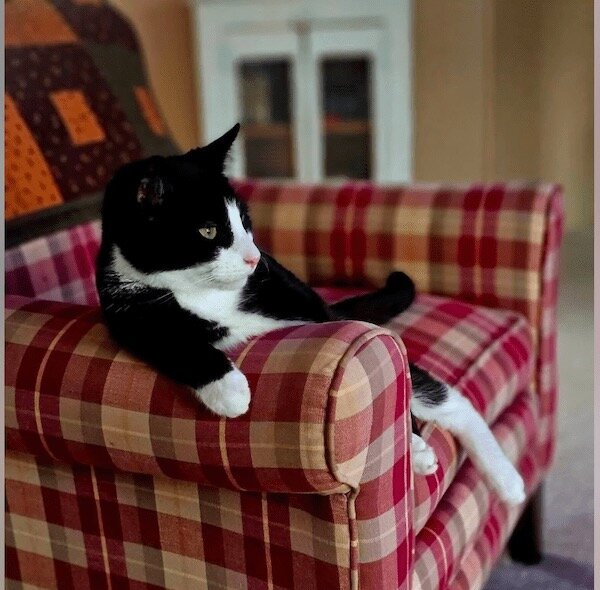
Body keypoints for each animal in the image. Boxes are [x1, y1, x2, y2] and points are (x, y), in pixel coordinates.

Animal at [96, 124, 525, 505]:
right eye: (208, 231)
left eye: (245, 222)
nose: (254, 258)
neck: (206, 293)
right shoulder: (126, 312)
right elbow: (169, 340)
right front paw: (230, 390)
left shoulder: (299, 299)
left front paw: (417, 443)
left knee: (446, 399)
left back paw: (505, 480)